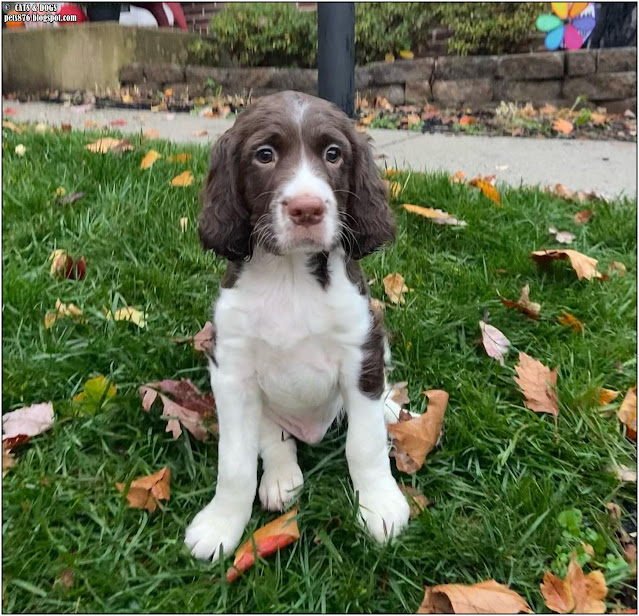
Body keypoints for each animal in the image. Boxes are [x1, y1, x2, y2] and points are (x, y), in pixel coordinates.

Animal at [185, 89, 410, 560]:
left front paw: (380, 505)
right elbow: (235, 462)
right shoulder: (230, 370)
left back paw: (391, 408)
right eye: (264, 155)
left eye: (333, 154)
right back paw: (280, 478)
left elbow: (364, 444)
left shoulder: (361, 348)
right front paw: (221, 523)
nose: (307, 209)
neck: (290, 277)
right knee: (274, 439)